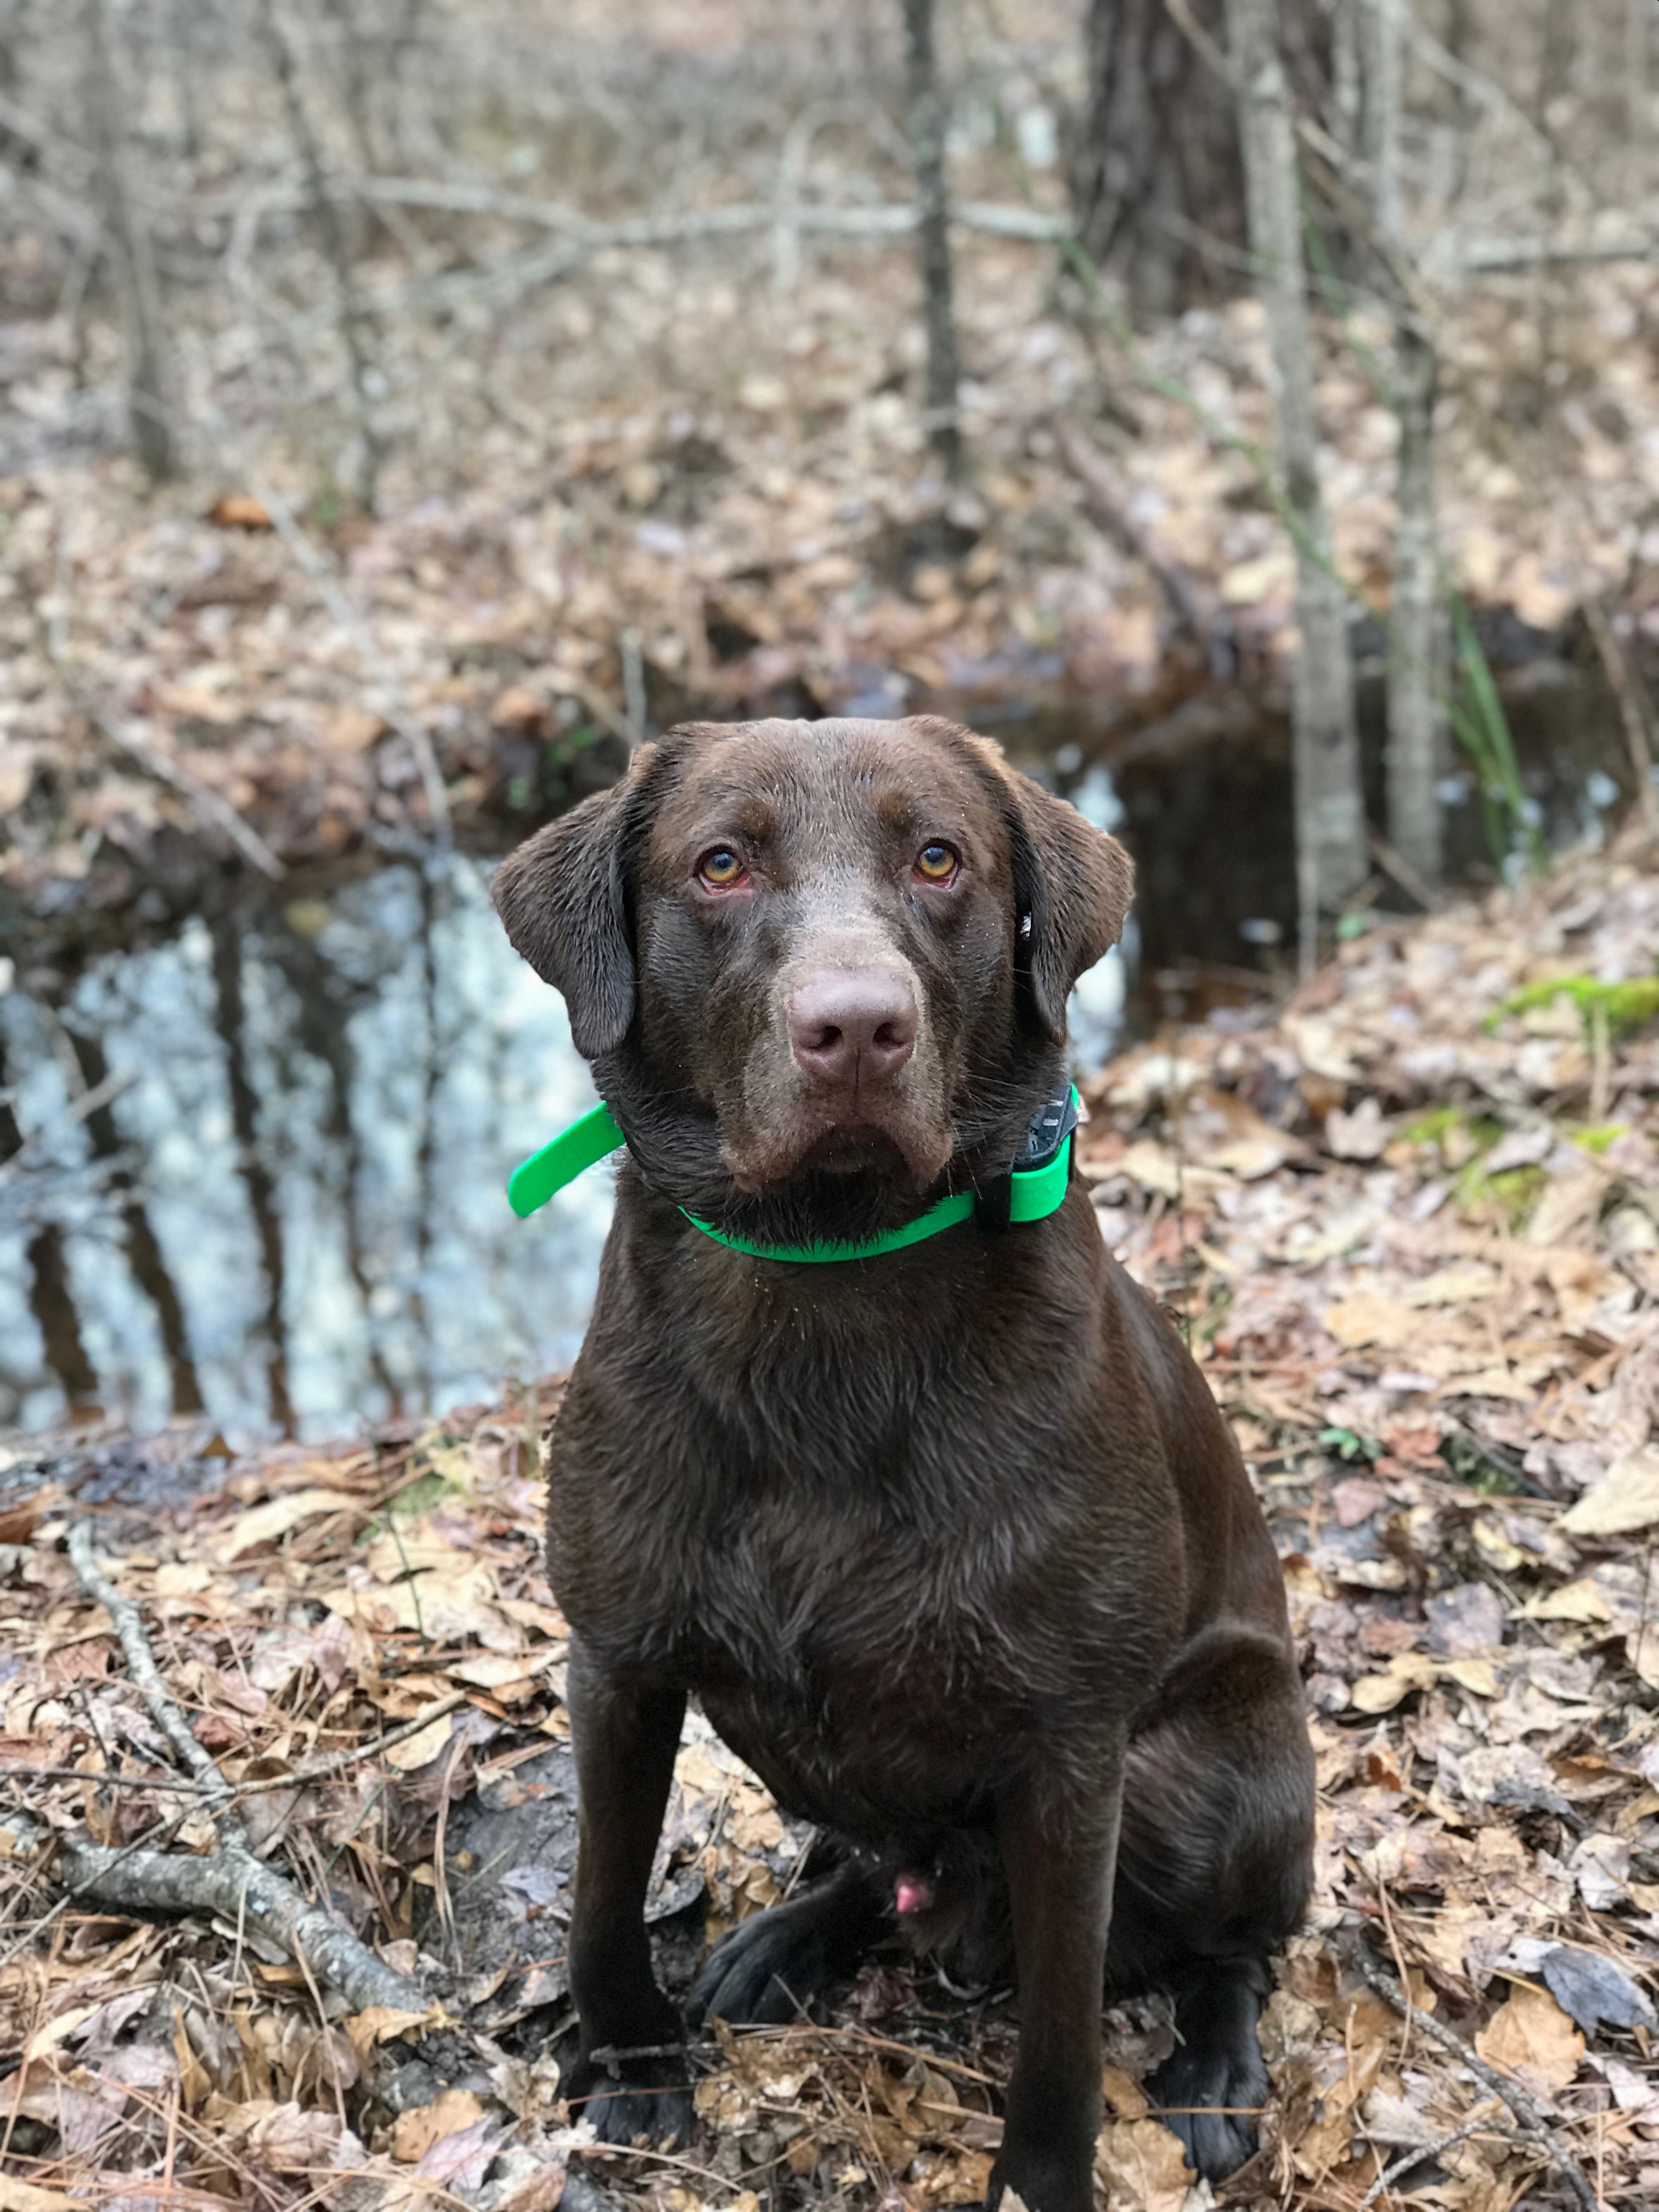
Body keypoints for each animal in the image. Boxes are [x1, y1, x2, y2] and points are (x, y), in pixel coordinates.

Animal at [493, 716, 1309, 2203]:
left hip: (1210, 1767)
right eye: (720, 864)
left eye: (939, 859)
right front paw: (632, 2064)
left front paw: (1043, 2181)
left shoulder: (1070, 1751)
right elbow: (600, 1894)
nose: (857, 1027)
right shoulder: (617, 1659)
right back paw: (790, 1938)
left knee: (1235, 1949)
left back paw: (1216, 2069)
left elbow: (1060, 2032)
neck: (831, 1279)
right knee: (872, 1869)